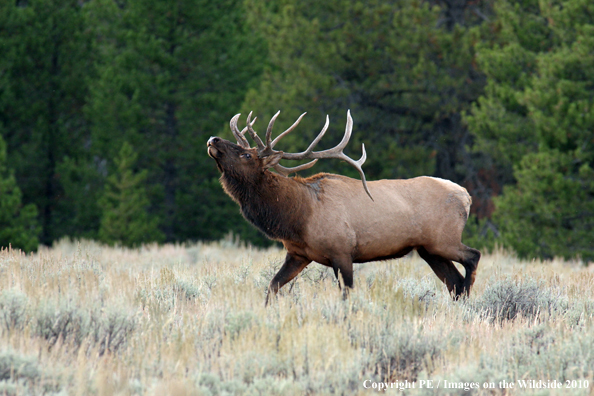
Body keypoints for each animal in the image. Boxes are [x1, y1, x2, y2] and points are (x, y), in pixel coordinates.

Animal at [206, 110, 478, 304]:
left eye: (247, 155)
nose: (213, 138)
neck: (297, 217)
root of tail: (466, 196)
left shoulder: (342, 251)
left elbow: (346, 296)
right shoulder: (298, 254)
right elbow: (272, 287)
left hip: (444, 239)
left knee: (472, 258)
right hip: (428, 249)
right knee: (453, 282)